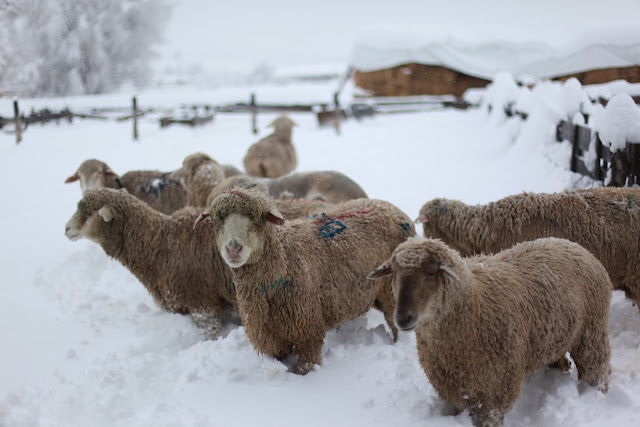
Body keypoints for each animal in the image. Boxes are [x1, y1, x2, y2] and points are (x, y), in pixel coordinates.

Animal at [194, 187, 415, 374]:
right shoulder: (270, 340)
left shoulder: (309, 330)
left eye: (259, 218)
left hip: (391, 292)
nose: (233, 249)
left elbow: (305, 367)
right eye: (216, 220)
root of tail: (389, 207)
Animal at [368, 236, 612, 427]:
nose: (403, 318)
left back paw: (595, 394)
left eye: (431, 273)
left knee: (597, 370)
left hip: (592, 331)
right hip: (553, 337)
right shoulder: (451, 388)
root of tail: (574, 245)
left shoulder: (499, 388)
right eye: (395, 273)